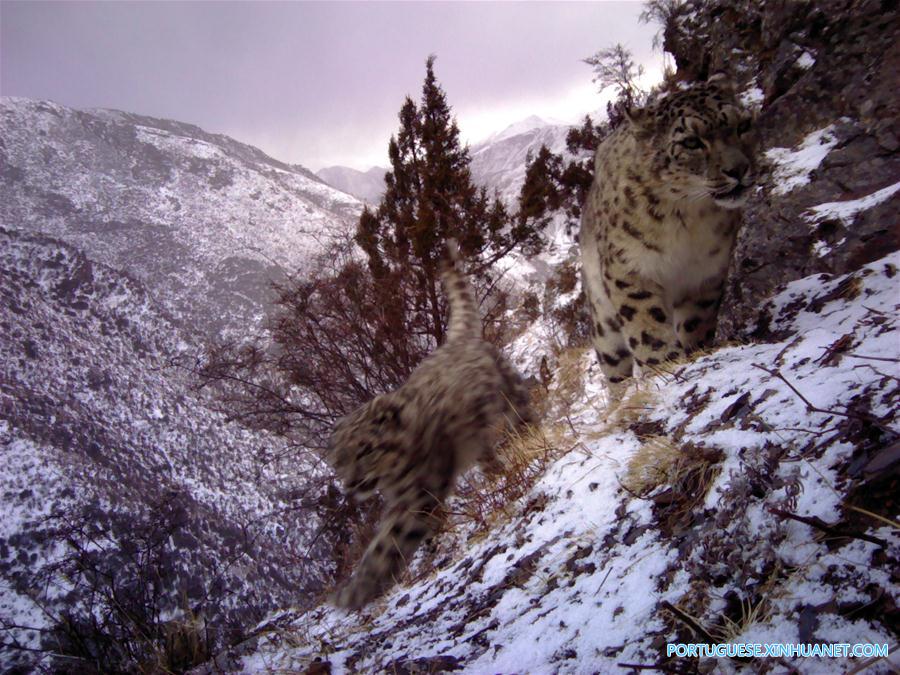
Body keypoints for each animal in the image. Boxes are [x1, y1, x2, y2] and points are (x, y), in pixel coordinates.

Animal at [326, 240, 536, 608]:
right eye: (339, 460)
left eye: (365, 449)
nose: (351, 484)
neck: (391, 481)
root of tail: (457, 340)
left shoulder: (417, 493)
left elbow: (388, 541)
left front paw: (354, 592)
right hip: (478, 437)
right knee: (487, 454)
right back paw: (497, 471)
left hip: (510, 394)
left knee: (524, 413)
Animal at [580, 76, 756, 398]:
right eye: (691, 142)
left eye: (742, 126)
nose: (738, 169)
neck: (689, 219)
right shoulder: (630, 268)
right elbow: (646, 325)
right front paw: (665, 364)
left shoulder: (706, 273)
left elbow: (696, 321)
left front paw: (697, 352)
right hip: (603, 321)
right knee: (614, 367)